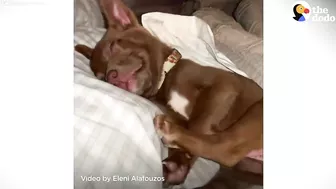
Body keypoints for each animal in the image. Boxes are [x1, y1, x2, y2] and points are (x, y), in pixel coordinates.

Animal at [75, 0, 264, 186]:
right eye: (101, 78)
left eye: (114, 46)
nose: (111, 77)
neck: (164, 81)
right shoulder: (177, 114)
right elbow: (193, 126)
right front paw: (177, 164)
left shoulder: (224, 86)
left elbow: (198, 124)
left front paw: (179, 157)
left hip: (256, 113)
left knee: (225, 149)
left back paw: (169, 131)